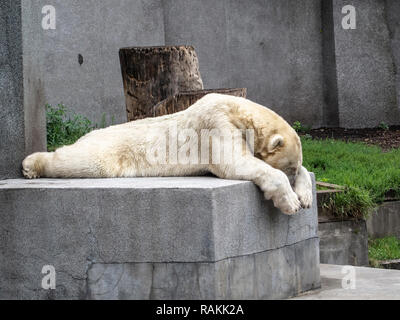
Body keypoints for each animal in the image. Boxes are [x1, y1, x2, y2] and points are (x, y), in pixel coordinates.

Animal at [22, 94, 312, 216]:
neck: (238, 110)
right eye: (287, 168)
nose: (292, 177)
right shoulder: (215, 123)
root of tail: (87, 135)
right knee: (84, 161)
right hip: (107, 149)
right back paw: (31, 165)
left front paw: (305, 196)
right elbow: (234, 162)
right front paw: (291, 202)